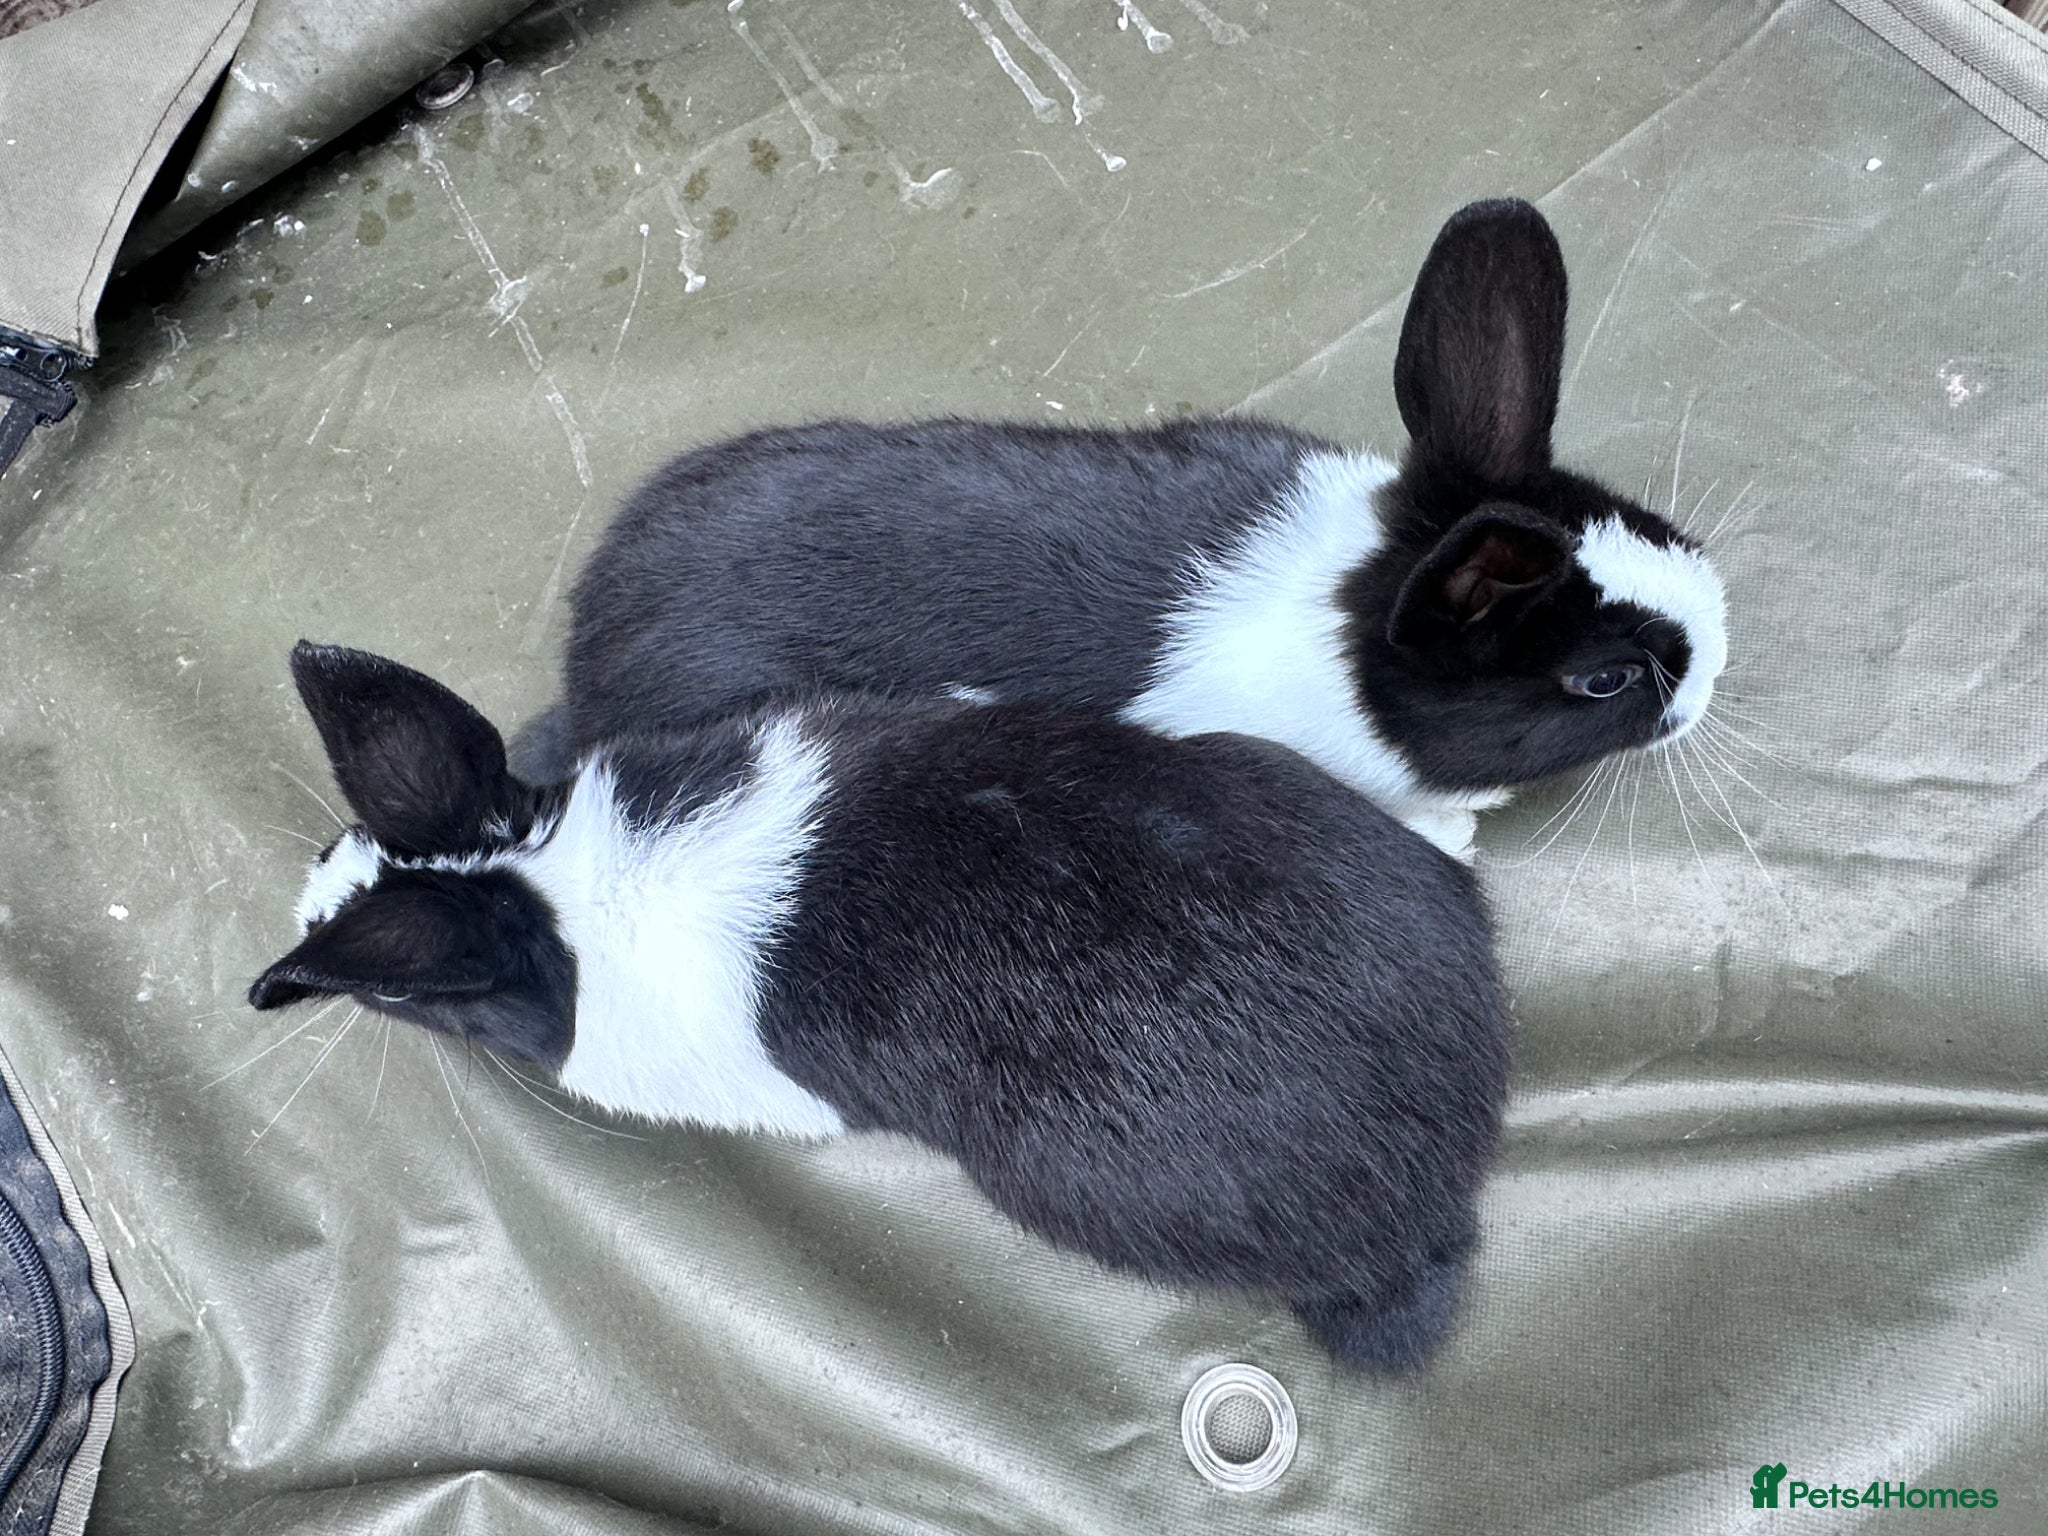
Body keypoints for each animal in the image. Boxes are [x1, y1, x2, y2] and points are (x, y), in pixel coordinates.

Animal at [533, 197, 1729, 863]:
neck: (1348, 620)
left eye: (1642, 519)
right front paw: (1455, 828)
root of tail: (586, 670)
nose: (1718, 659)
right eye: (1602, 681)